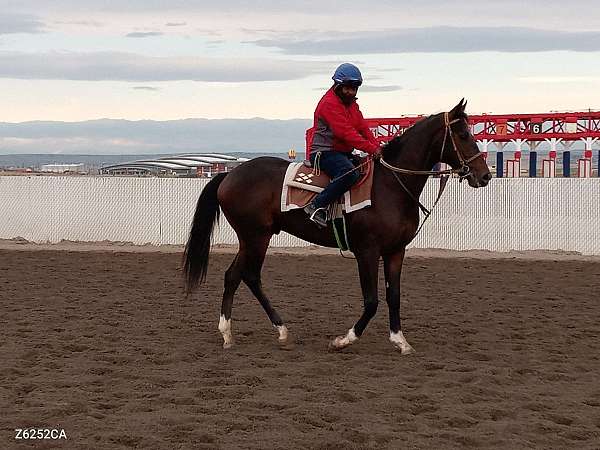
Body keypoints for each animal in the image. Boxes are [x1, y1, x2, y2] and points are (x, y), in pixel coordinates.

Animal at [184, 99, 492, 356]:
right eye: (463, 135)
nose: (485, 175)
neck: (390, 186)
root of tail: (229, 175)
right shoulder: (367, 252)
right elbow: (372, 300)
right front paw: (344, 340)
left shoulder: (396, 251)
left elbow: (394, 296)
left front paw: (400, 340)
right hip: (255, 237)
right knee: (246, 275)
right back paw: (267, 331)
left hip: (252, 238)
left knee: (237, 276)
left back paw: (242, 333)